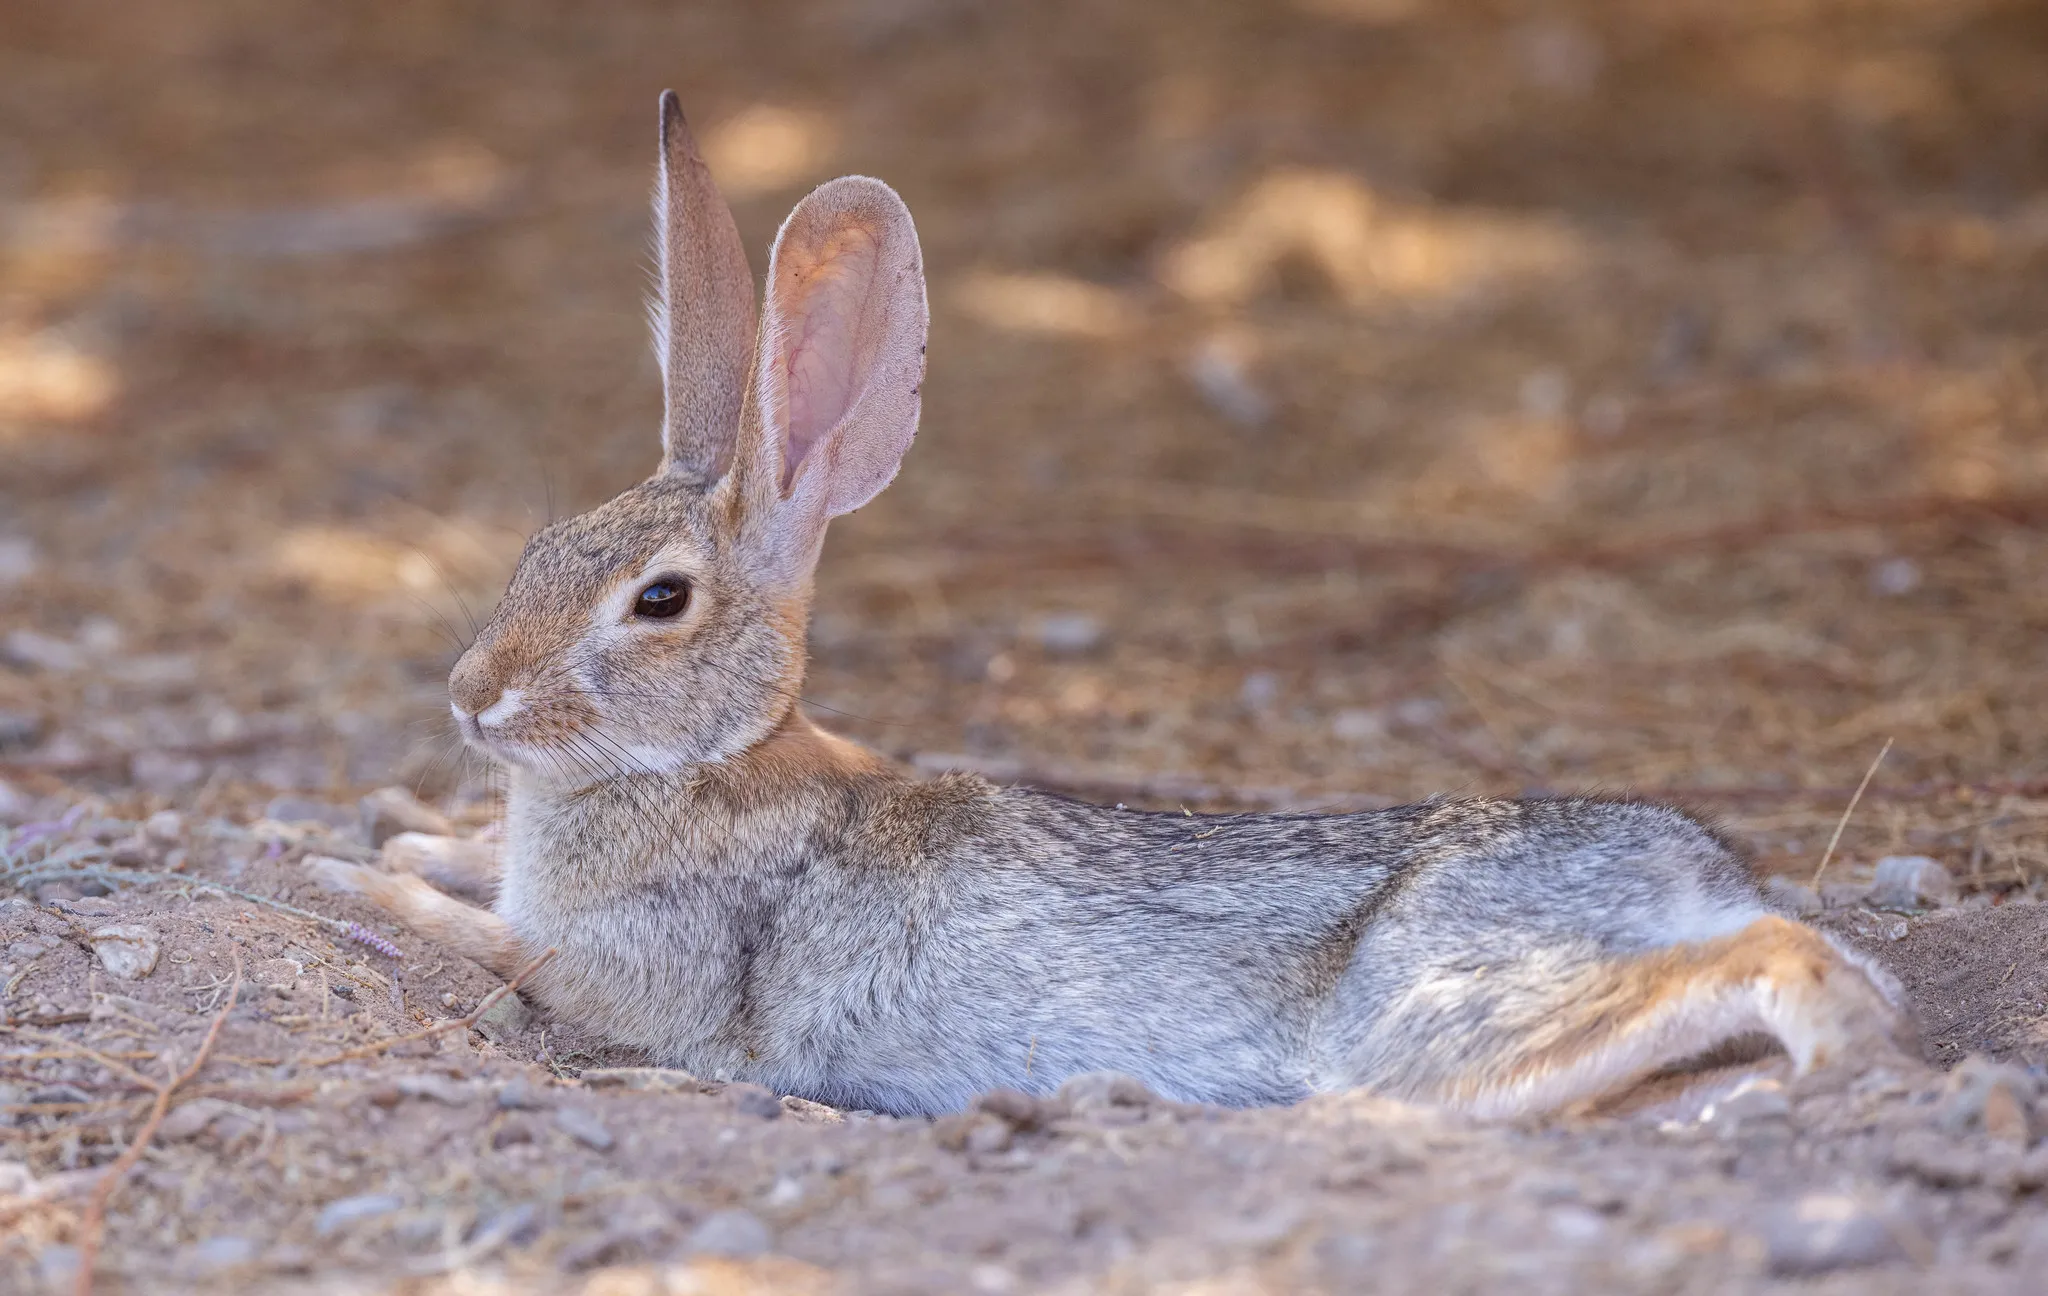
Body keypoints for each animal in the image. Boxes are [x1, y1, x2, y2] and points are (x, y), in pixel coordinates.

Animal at [310, 91, 1919, 1119]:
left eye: (657, 601)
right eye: (540, 542)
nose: (470, 699)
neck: (707, 763)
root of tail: (1690, 869)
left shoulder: (634, 973)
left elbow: (501, 950)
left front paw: (354, 879)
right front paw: (396, 829)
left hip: (1435, 1015)